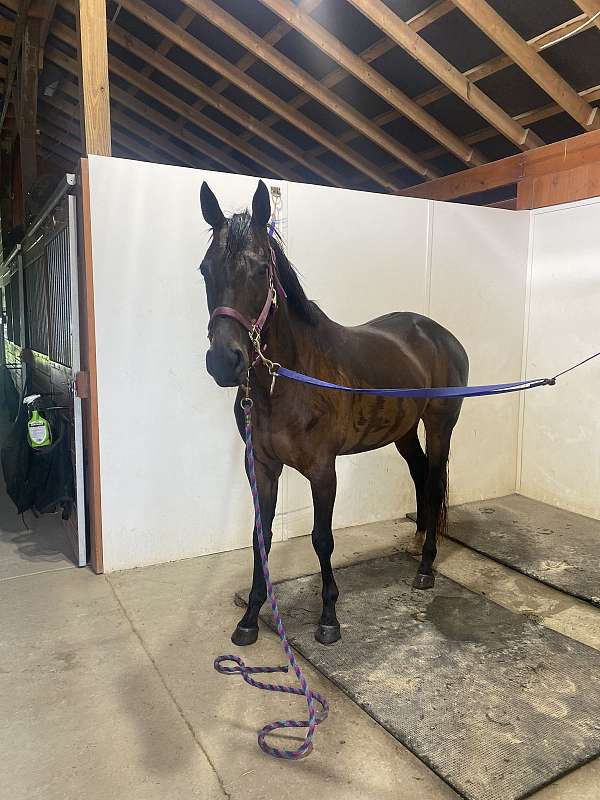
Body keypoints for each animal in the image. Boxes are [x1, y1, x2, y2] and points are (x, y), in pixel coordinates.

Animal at [199, 179, 469, 647]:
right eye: (204, 270)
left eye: (261, 270)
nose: (224, 361)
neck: (287, 380)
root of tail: (441, 335)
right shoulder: (263, 467)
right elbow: (259, 536)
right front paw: (250, 616)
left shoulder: (323, 470)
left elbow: (322, 539)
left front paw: (329, 617)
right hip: (403, 430)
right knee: (419, 474)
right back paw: (417, 542)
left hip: (439, 425)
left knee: (434, 483)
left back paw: (425, 568)